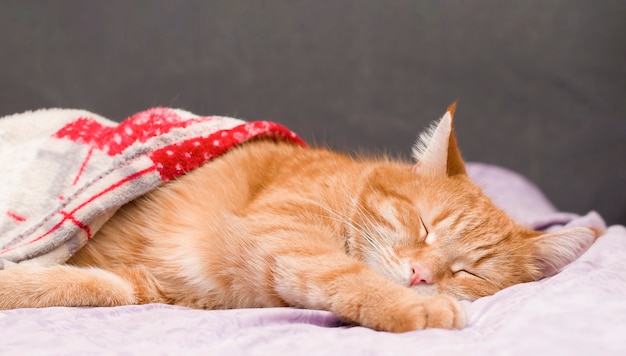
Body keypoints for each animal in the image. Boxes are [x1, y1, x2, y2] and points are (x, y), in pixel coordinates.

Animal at [0, 104, 596, 332]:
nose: (421, 276)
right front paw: (415, 308)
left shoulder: (141, 284)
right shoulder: (284, 231)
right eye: (422, 224)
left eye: (470, 271)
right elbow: (342, 272)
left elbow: (73, 286)